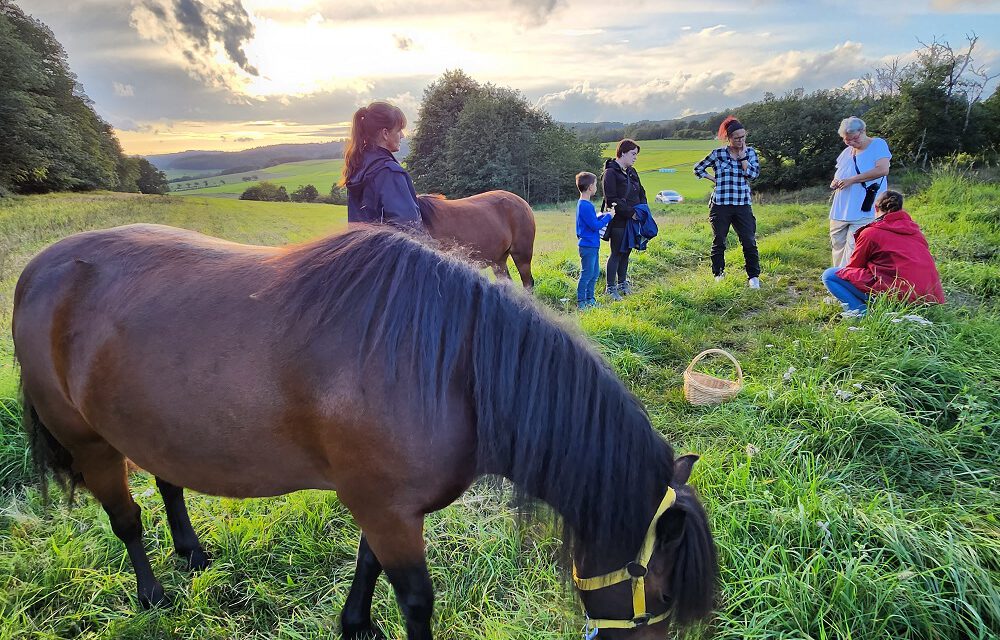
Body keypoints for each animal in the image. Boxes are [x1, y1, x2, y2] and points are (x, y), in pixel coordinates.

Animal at [15, 225, 720, 640]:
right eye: (660, 588)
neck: (446, 366)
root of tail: (35, 272)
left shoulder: (381, 505)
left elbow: (367, 563)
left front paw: (354, 624)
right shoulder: (386, 509)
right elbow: (414, 598)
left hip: (155, 427)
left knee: (168, 480)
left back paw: (189, 550)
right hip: (90, 444)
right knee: (126, 519)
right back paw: (152, 594)